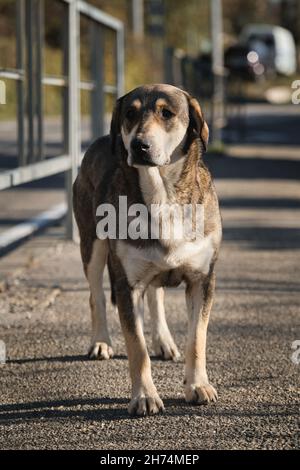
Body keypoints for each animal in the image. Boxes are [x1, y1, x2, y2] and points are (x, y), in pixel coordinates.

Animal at [73, 83, 223, 414]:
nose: (139, 145)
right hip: (92, 246)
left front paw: (198, 385)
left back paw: (164, 341)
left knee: (156, 296)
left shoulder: (202, 280)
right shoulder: (127, 286)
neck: (162, 195)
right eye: (130, 114)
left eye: (167, 113)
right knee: (95, 295)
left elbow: (197, 339)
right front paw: (144, 396)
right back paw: (101, 342)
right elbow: (136, 347)